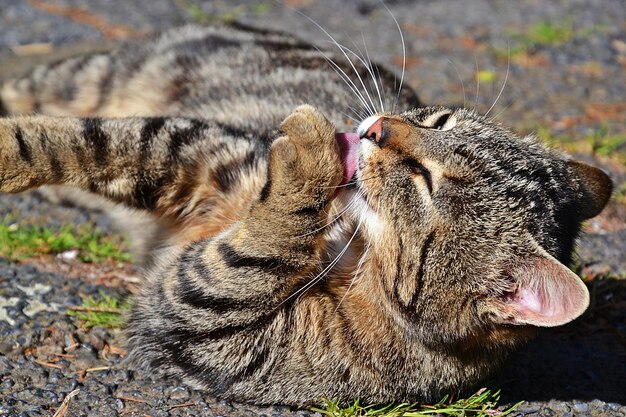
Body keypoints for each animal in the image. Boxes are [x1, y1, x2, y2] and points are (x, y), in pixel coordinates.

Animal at [0, 22, 608, 404]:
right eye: (439, 121)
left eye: (426, 181)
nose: (376, 127)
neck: (350, 244)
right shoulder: (208, 151)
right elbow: (99, 143)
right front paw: (12, 148)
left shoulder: (211, 334)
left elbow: (250, 254)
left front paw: (309, 160)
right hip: (96, 76)